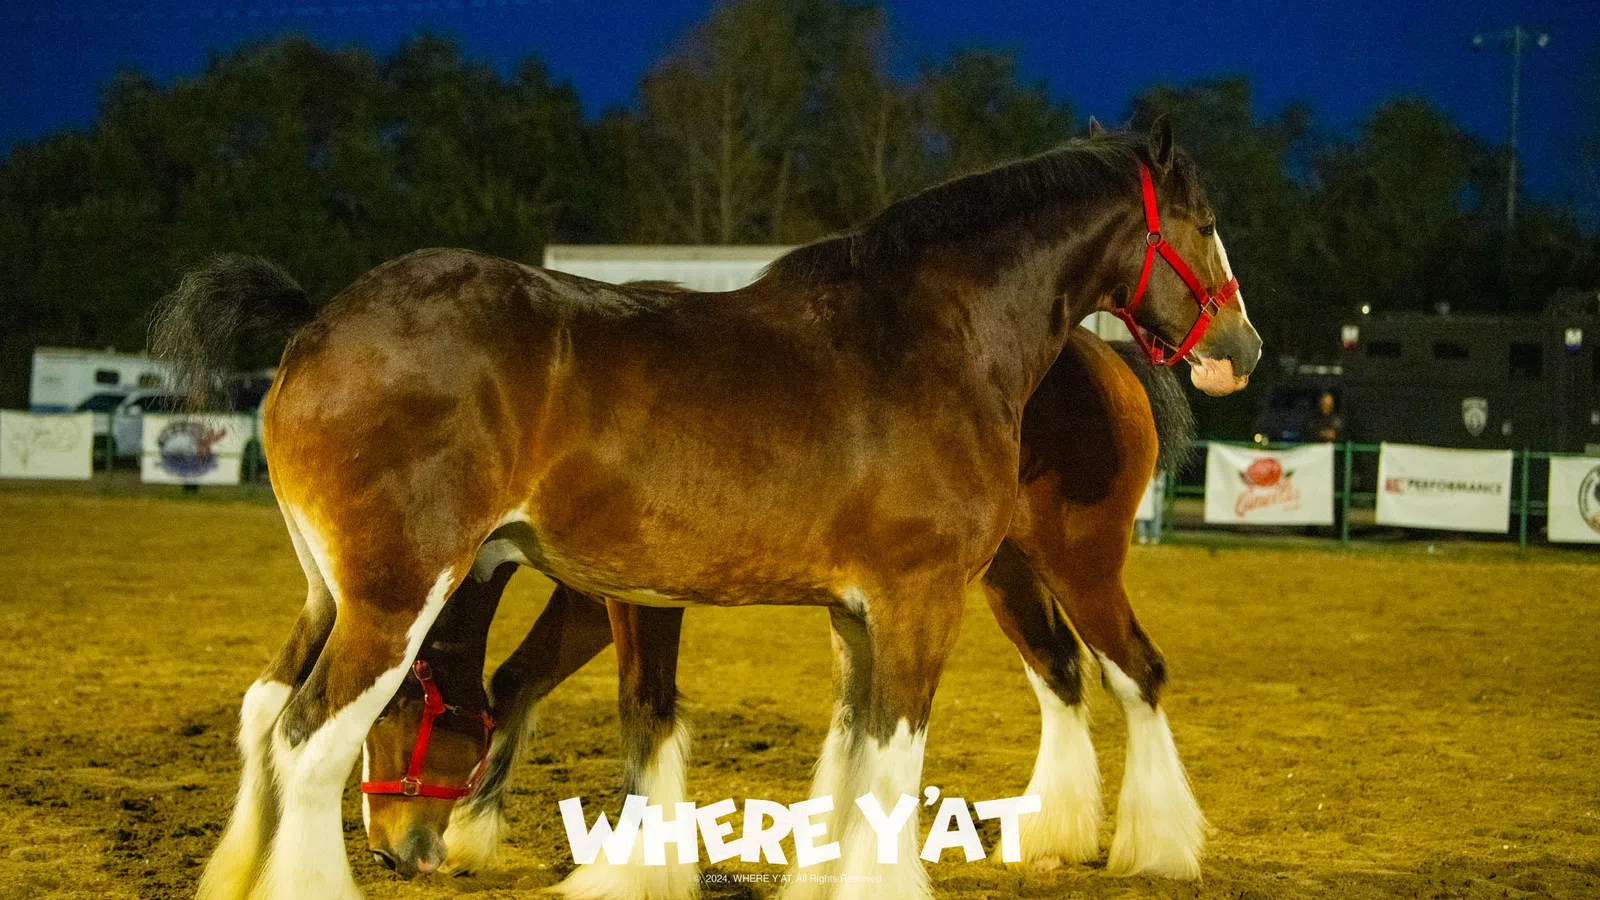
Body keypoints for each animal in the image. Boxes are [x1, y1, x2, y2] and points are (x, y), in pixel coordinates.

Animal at [359, 326, 1204, 895]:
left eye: (397, 706)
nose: (385, 847)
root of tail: (1103, 356)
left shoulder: (635, 598)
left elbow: (643, 703)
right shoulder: (587, 595)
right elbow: (517, 679)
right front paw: (476, 831)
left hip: (1077, 559)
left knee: (1137, 669)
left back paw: (1158, 847)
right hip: (1003, 573)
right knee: (1060, 672)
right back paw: (1055, 836)